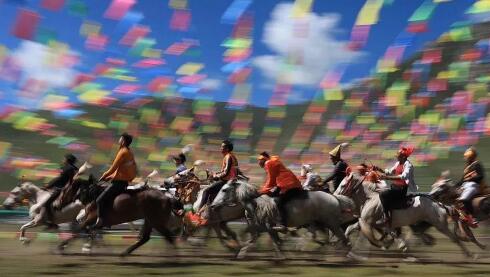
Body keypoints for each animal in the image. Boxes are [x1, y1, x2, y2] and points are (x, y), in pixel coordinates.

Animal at [212, 180, 352, 258]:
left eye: (224, 190)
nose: (213, 205)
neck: (256, 204)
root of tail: (335, 198)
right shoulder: (262, 229)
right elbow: (272, 243)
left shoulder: (268, 227)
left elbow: (276, 240)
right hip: (322, 224)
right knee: (329, 239)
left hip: (331, 224)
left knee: (344, 240)